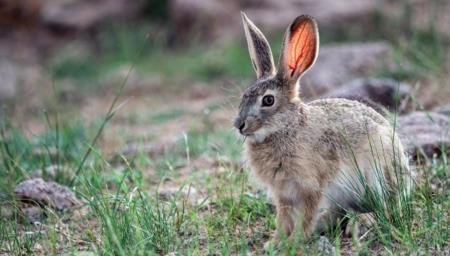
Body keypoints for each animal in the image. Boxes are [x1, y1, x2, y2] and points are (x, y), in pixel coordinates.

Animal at [234, 12, 414, 243]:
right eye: (243, 97)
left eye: (268, 100)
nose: (239, 125)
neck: (286, 128)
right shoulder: (283, 194)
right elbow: (283, 217)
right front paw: (276, 242)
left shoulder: (312, 186)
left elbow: (306, 214)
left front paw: (295, 240)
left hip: (378, 175)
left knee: (384, 209)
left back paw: (360, 223)